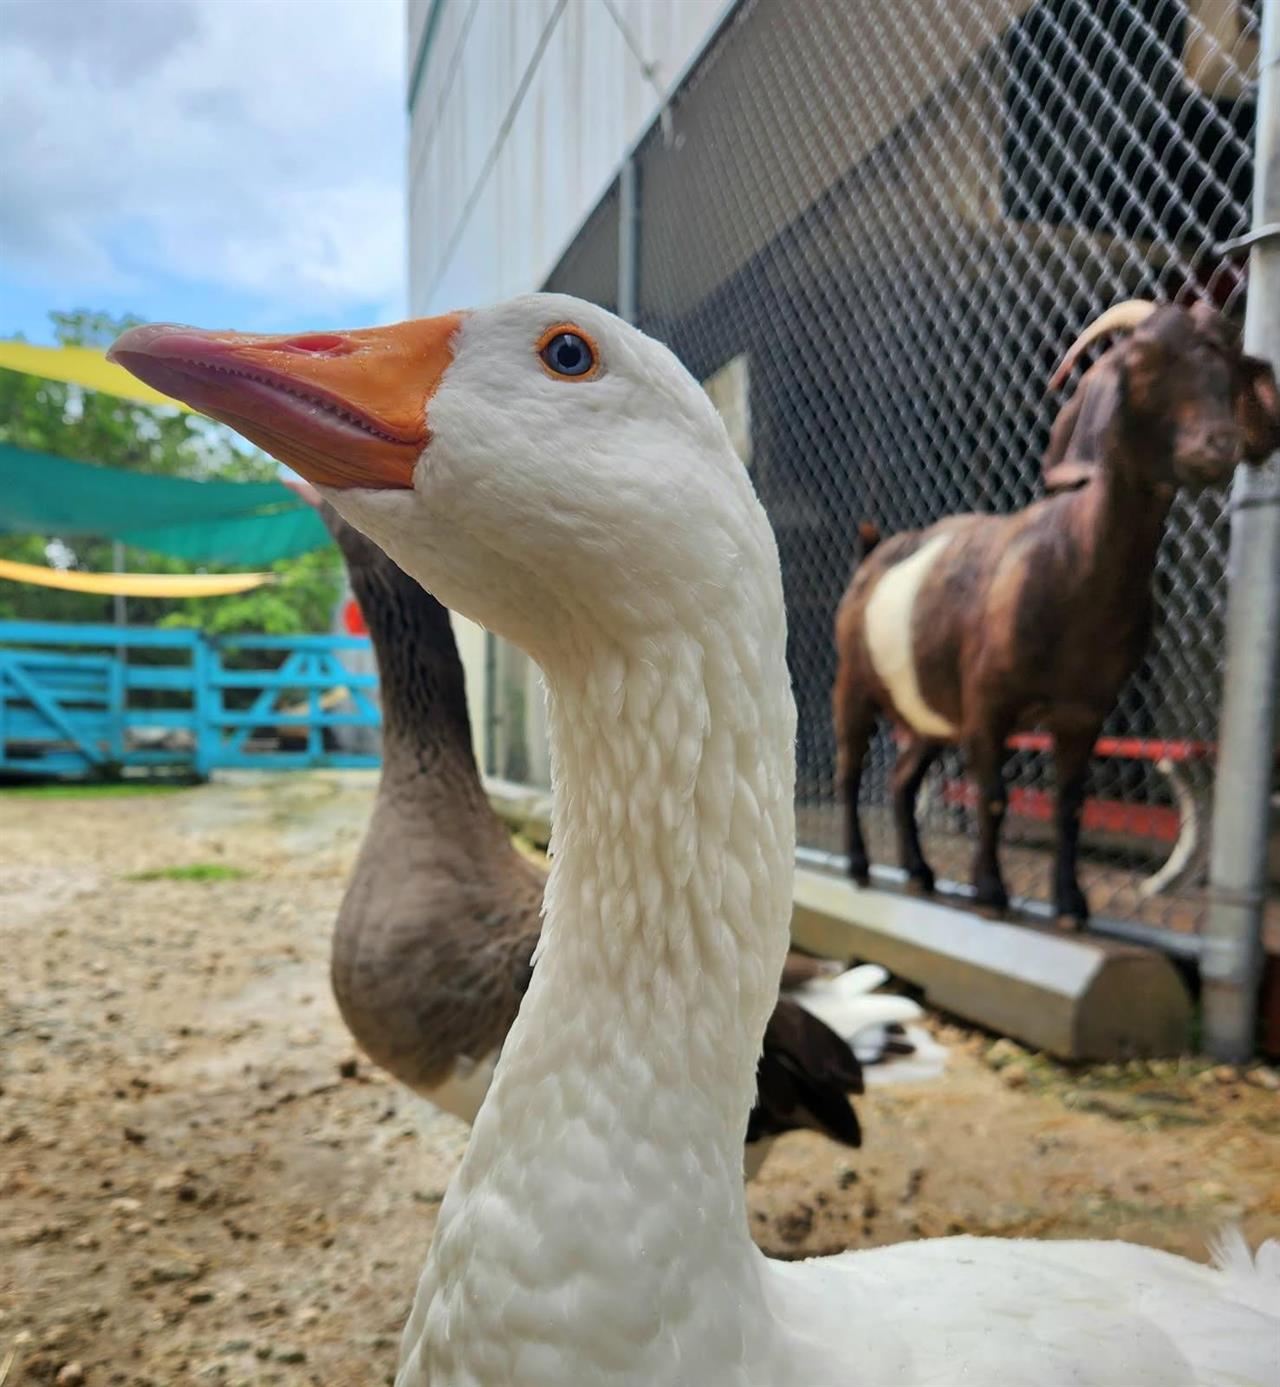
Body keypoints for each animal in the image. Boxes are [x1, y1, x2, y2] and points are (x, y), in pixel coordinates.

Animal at [833, 300, 1280, 927]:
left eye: (1235, 364)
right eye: (1142, 359)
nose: (1219, 444)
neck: (1074, 564)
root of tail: (870, 554)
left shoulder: (1082, 713)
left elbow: (1069, 807)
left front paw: (1071, 903)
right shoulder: (987, 702)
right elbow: (994, 796)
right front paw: (990, 891)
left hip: (930, 713)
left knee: (900, 780)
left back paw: (919, 872)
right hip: (854, 684)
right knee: (849, 769)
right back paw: (857, 864)